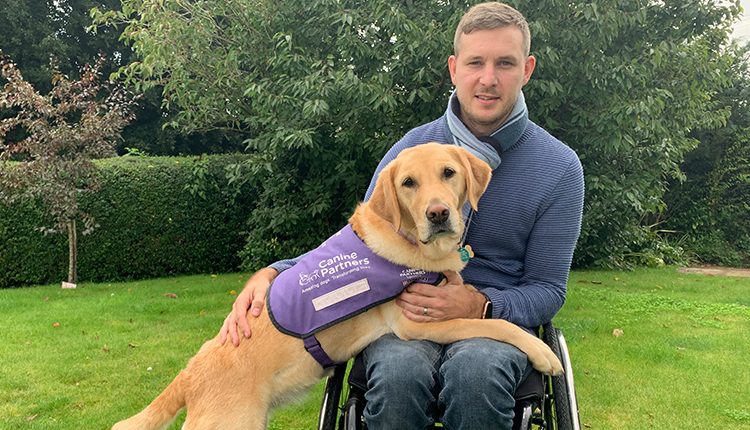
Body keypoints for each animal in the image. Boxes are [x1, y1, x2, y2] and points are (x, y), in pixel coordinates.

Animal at [114, 144, 564, 430]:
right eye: (408, 183)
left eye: (448, 174)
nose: (437, 213)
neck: (409, 243)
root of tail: (188, 374)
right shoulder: (417, 323)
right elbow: (497, 324)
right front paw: (543, 353)